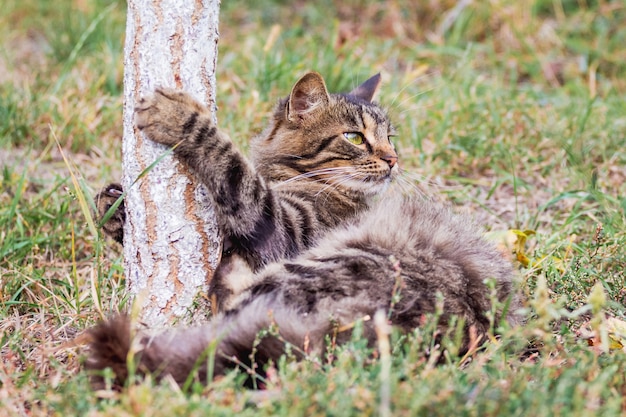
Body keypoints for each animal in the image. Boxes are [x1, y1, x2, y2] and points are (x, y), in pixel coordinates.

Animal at [88, 71, 516, 386]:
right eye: (355, 137)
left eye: (388, 138)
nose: (394, 159)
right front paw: (113, 205)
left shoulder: (284, 226)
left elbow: (233, 171)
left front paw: (180, 117)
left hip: (311, 270)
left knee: (224, 320)